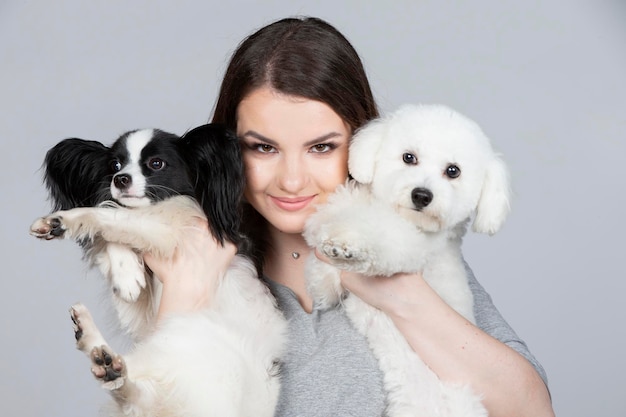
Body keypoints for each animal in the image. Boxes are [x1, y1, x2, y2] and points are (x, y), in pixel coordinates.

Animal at [29, 124, 282, 416]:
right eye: (115, 165)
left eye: (156, 163)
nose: (120, 179)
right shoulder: (138, 310)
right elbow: (115, 227)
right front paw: (127, 275)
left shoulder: (171, 233)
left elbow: (113, 215)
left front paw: (64, 219)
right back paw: (98, 349)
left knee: (138, 396)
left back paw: (108, 364)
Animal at [302, 102, 512, 414]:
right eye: (408, 157)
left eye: (453, 171)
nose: (422, 195)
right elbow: (327, 280)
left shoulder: (408, 247)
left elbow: (379, 237)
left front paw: (347, 243)